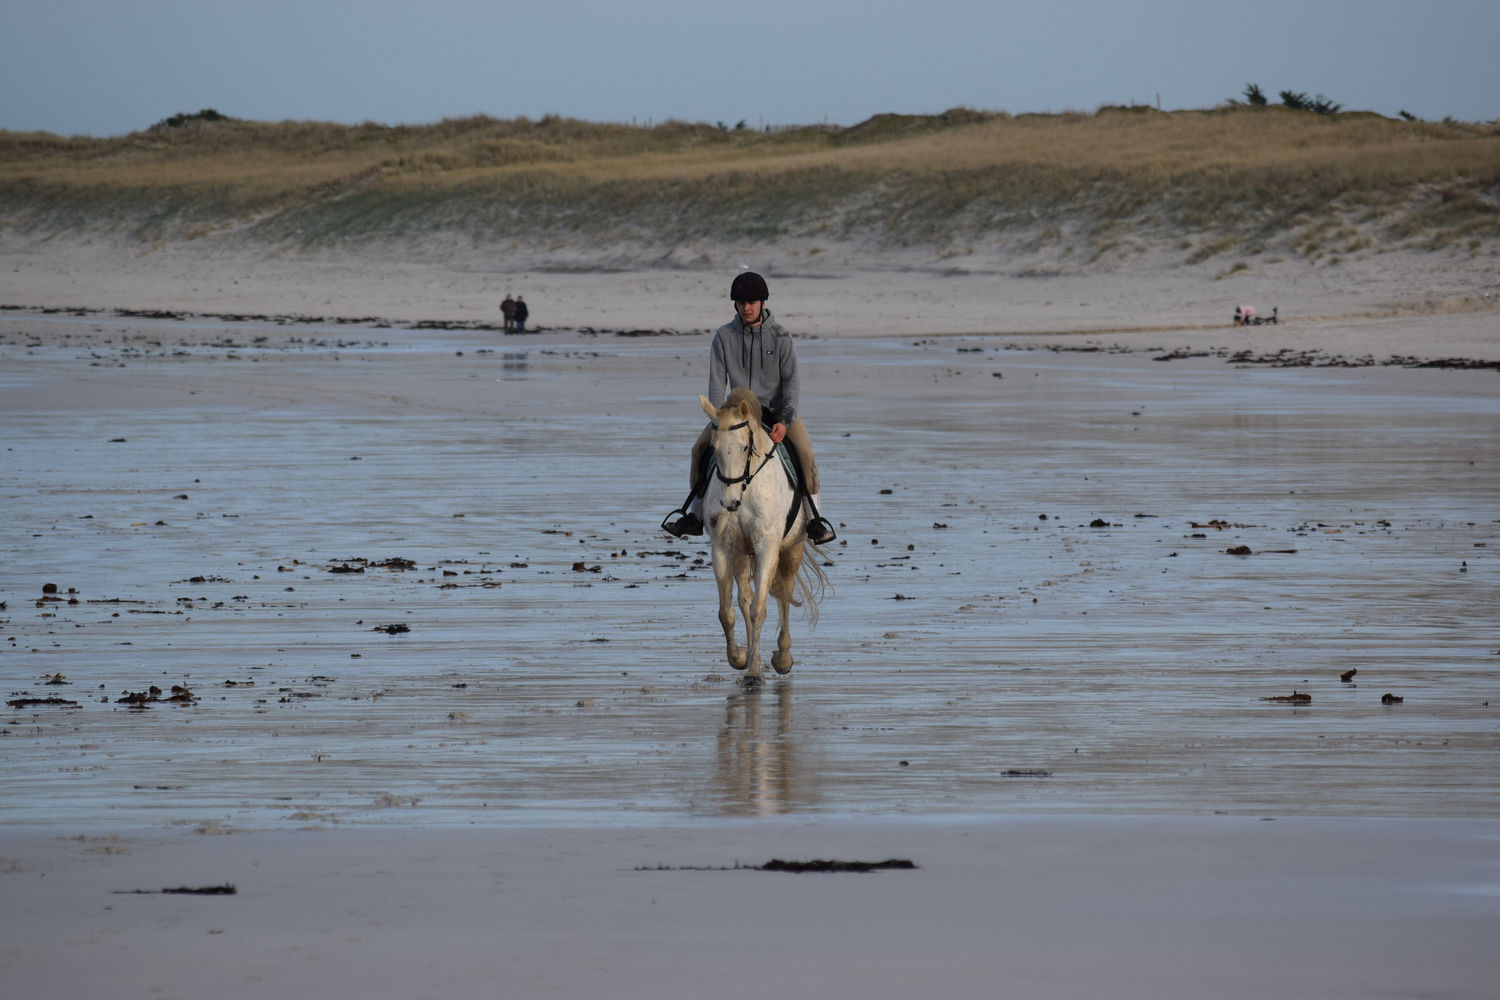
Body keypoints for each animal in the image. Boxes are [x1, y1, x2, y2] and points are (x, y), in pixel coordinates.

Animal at [696, 386, 828, 683]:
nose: (730, 503)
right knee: (745, 598)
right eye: (714, 448)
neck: (746, 486)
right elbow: (727, 612)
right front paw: (740, 658)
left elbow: (760, 609)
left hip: (791, 549)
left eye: (745, 447)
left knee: (784, 593)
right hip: (742, 554)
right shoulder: (722, 548)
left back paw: (783, 658)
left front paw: (755, 673)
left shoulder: (767, 546)